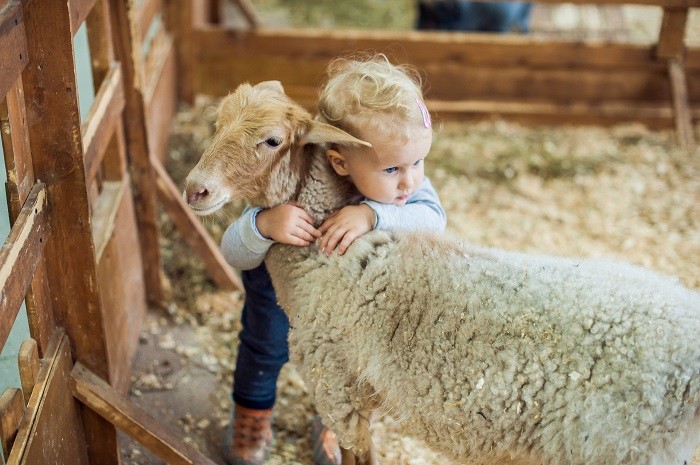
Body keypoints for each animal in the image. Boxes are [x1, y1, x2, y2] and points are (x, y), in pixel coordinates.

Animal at [183, 80, 700, 465]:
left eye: (271, 140)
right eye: (217, 123)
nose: (194, 190)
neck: (326, 264)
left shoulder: (338, 390)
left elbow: (358, 456)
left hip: (622, 446)